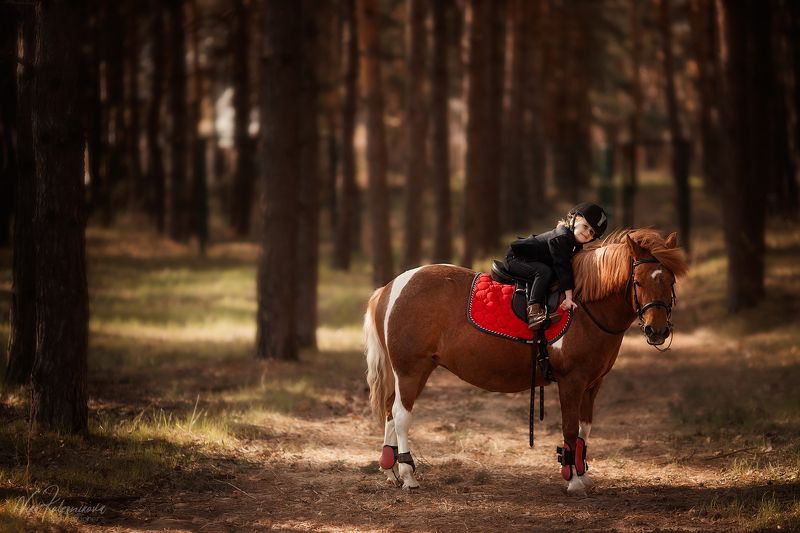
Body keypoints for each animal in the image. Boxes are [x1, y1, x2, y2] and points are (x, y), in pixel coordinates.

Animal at [363, 228, 689, 495]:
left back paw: (390, 470)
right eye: (638, 281)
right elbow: (570, 429)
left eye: (670, 280)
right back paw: (408, 475)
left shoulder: (593, 384)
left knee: (391, 411)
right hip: (411, 369)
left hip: (412, 371)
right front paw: (573, 481)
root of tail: (389, 288)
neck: (584, 308)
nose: (657, 331)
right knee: (401, 415)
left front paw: (582, 474)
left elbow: (584, 429)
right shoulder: (571, 382)